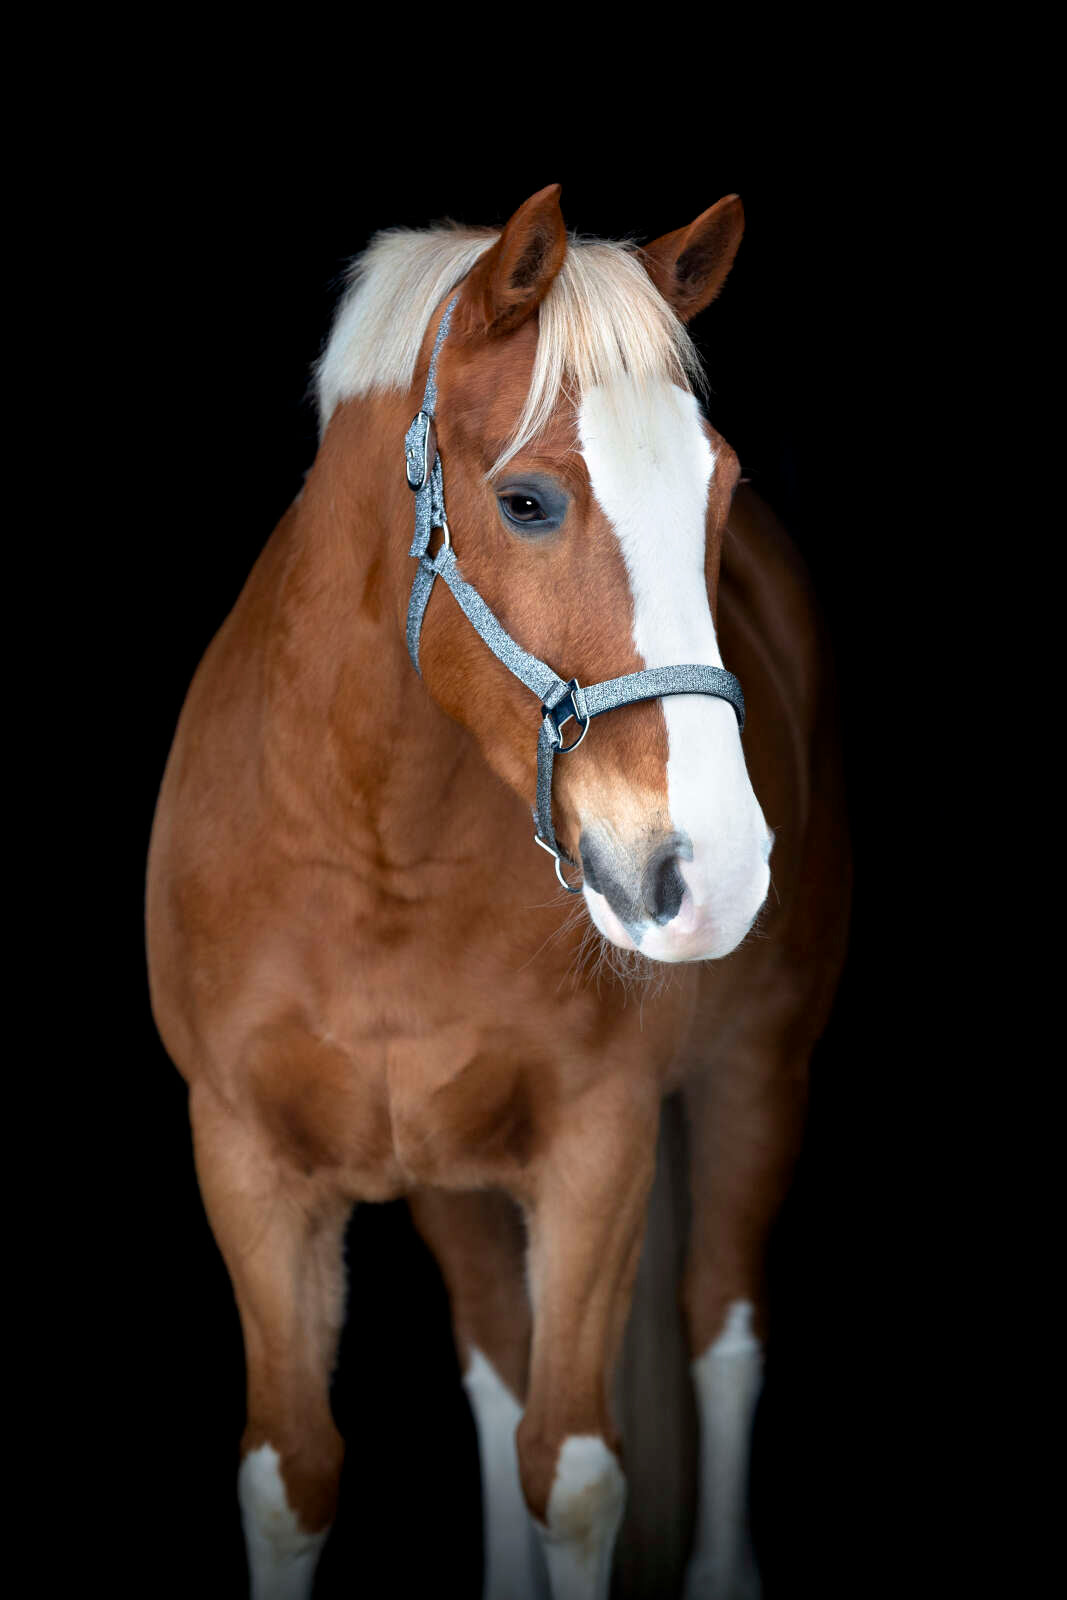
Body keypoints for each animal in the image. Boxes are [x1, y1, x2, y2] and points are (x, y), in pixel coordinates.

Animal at [146, 184, 850, 1599]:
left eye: (718, 492)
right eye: (526, 501)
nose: (715, 871)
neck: (374, 855)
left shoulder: (598, 1145)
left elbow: (572, 1471)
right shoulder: (245, 1161)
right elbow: (290, 1474)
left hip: (755, 1076)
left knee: (721, 1337)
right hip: (452, 1178)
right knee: (490, 1365)